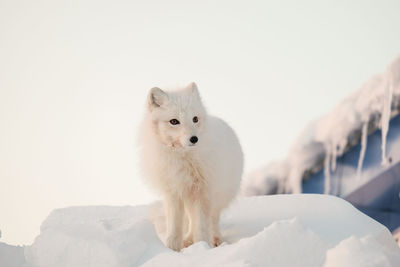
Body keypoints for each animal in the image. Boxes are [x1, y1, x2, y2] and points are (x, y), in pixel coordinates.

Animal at [139, 82, 242, 252]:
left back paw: (215, 240)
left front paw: (202, 247)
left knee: (212, 220)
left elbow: (201, 226)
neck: (182, 158)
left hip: (216, 196)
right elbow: (175, 227)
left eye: (195, 119)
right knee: (191, 220)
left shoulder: (202, 191)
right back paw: (187, 240)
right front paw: (172, 249)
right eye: (174, 121)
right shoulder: (173, 192)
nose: (194, 139)